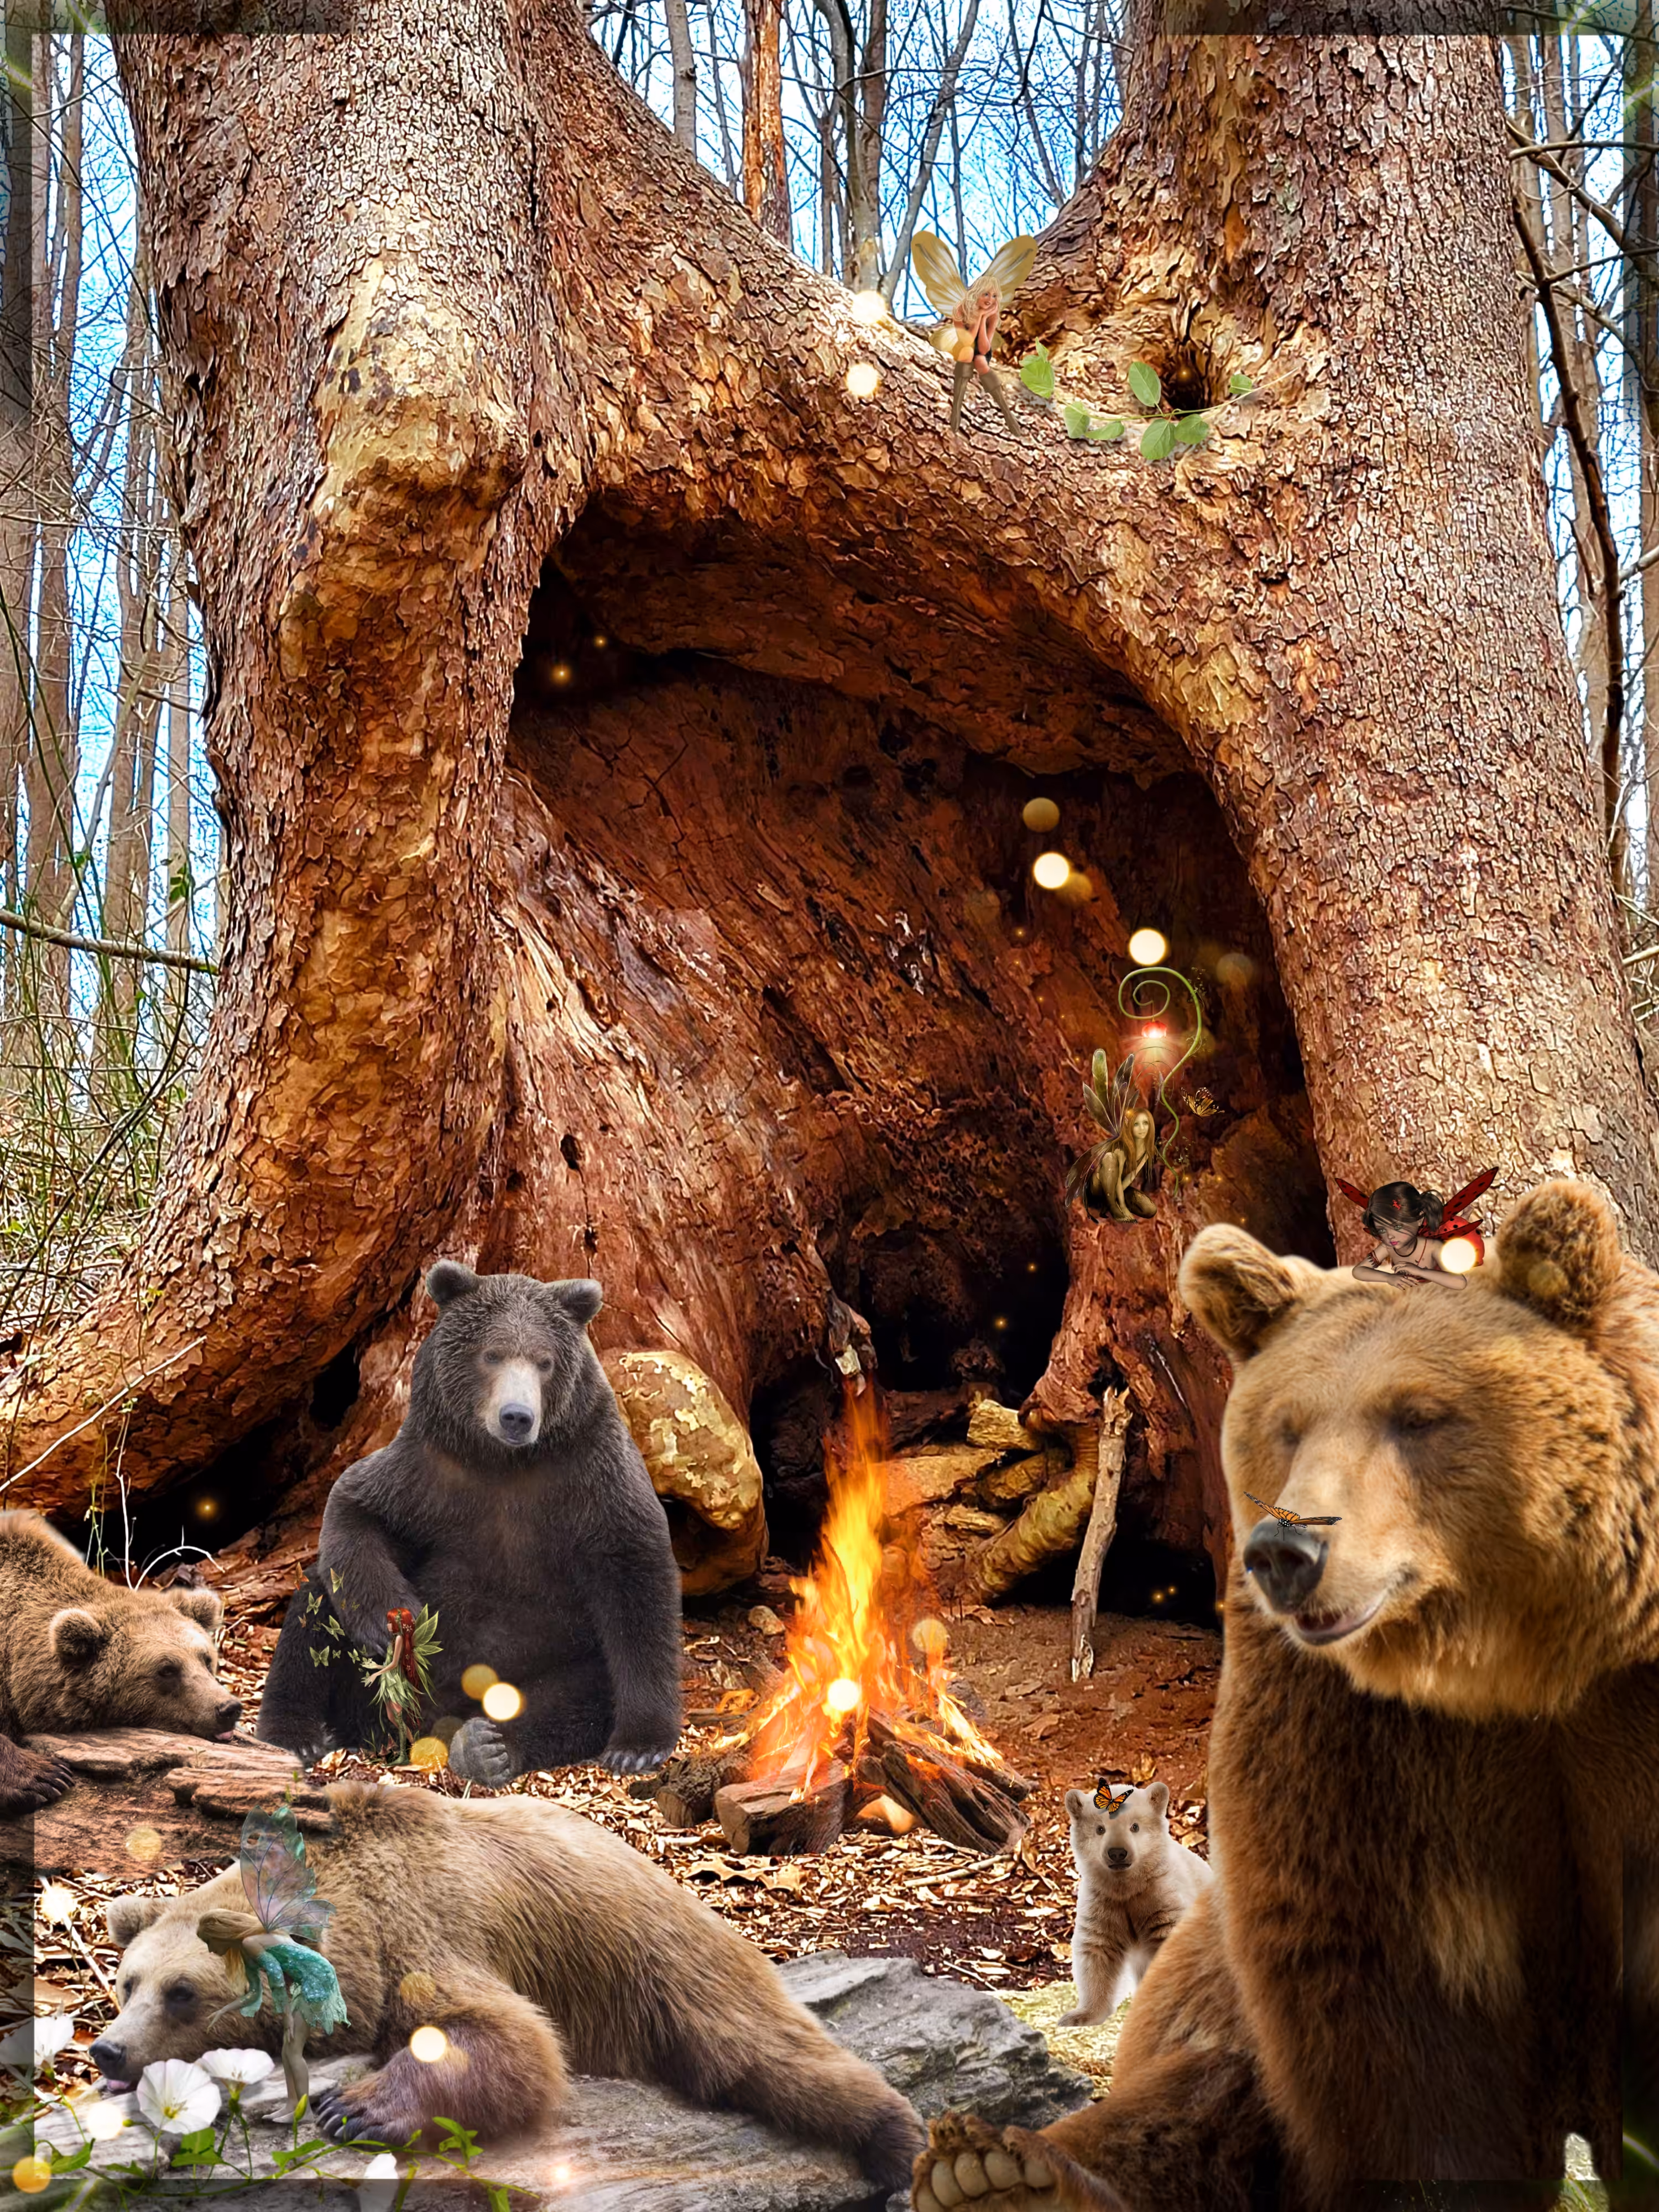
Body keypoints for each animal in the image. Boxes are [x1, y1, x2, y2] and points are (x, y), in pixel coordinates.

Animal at [88, 1779, 926, 2192]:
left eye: (183, 1993)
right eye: (128, 1983)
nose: (107, 2051)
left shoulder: (426, 1929)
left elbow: (505, 2037)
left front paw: (356, 2107)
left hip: (658, 1963)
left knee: (761, 2053)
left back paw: (898, 2141)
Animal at [257, 1264, 683, 1786]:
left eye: (544, 1361)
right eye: (492, 1354)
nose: (517, 1416)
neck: (503, 1464)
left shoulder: (590, 1477)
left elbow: (636, 1581)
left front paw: (638, 1746)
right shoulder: (428, 1474)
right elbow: (356, 1507)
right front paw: (395, 1621)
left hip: (561, 1660)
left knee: (582, 1696)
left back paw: (487, 1746)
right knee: (316, 1604)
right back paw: (293, 1735)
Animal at [1058, 1780, 1213, 2027]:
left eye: (1135, 1827)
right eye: (1100, 1829)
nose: (1117, 1853)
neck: (1129, 1888)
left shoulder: (1161, 1897)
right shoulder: (1103, 1903)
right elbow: (1098, 1952)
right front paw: (1078, 2017)